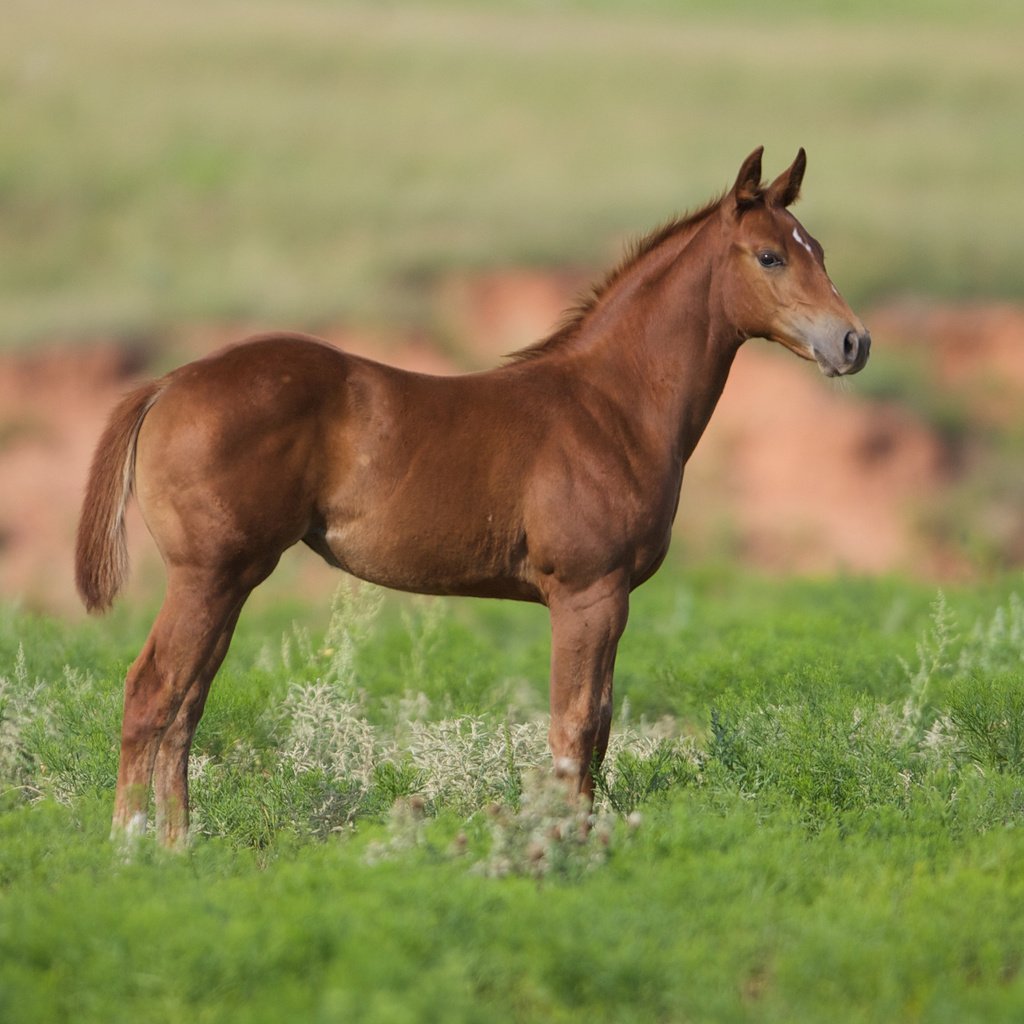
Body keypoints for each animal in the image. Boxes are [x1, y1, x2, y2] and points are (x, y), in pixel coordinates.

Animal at [74, 146, 872, 847]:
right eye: (769, 256)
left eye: (820, 249)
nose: (853, 342)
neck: (610, 406)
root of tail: (168, 383)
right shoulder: (588, 592)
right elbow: (576, 726)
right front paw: (564, 843)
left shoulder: (608, 597)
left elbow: (600, 726)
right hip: (208, 574)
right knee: (151, 692)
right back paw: (129, 849)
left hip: (231, 579)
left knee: (187, 704)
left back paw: (181, 849)